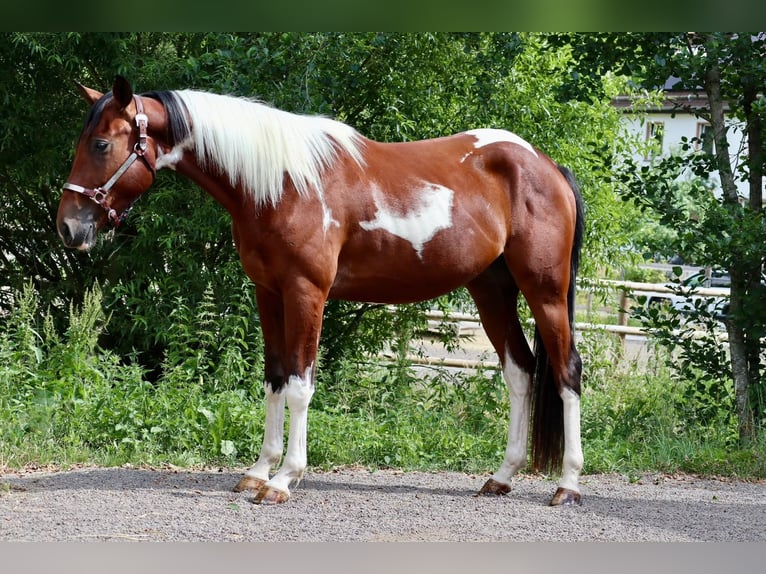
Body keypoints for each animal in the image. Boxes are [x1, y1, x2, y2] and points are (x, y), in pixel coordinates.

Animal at [56, 76, 585, 506]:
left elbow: (300, 385)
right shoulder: (268, 292)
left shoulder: (306, 293)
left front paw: (284, 479)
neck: (282, 183)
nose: (68, 228)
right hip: (490, 291)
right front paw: (258, 471)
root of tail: (545, 164)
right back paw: (502, 476)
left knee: (566, 372)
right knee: (520, 372)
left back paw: (568, 484)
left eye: (101, 144)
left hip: (545, 292)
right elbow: (274, 378)